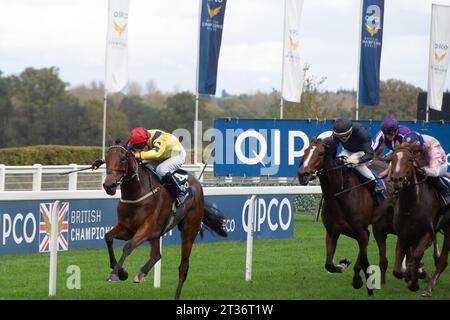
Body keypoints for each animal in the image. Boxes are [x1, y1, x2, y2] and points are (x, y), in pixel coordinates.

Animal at [103, 144, 229, 298]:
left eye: (122, 159)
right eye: (106, 159)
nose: (109, 186)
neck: (137, 193)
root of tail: (198, 185)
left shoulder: (147, 228)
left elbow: (128, 247)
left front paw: (114, 274)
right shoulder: (126, 228)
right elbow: (108, 237)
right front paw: (121, 272)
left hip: (188, 230)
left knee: (183, 267)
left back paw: (176, 294)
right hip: (157, 233)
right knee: (156, 255)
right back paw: (141, 273)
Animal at [298, 138, 392, 296]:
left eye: (320, 153)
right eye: (305, 152)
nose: (302, 175)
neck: (339, 195)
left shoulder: (362, 231)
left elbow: (362, 259)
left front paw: (358, 281)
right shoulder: (332, 232)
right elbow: (329, 265)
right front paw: (343, 264)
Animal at [390, 143, 446, 296]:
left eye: (410, 160)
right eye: (391, 159)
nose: (397, 180)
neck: (412, 204)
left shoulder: (427, 232)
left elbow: (416, 255)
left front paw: (414, 283)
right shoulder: (403, 234)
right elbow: (398, 266)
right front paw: (409, 274)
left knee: (442, 261)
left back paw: (428, 288)